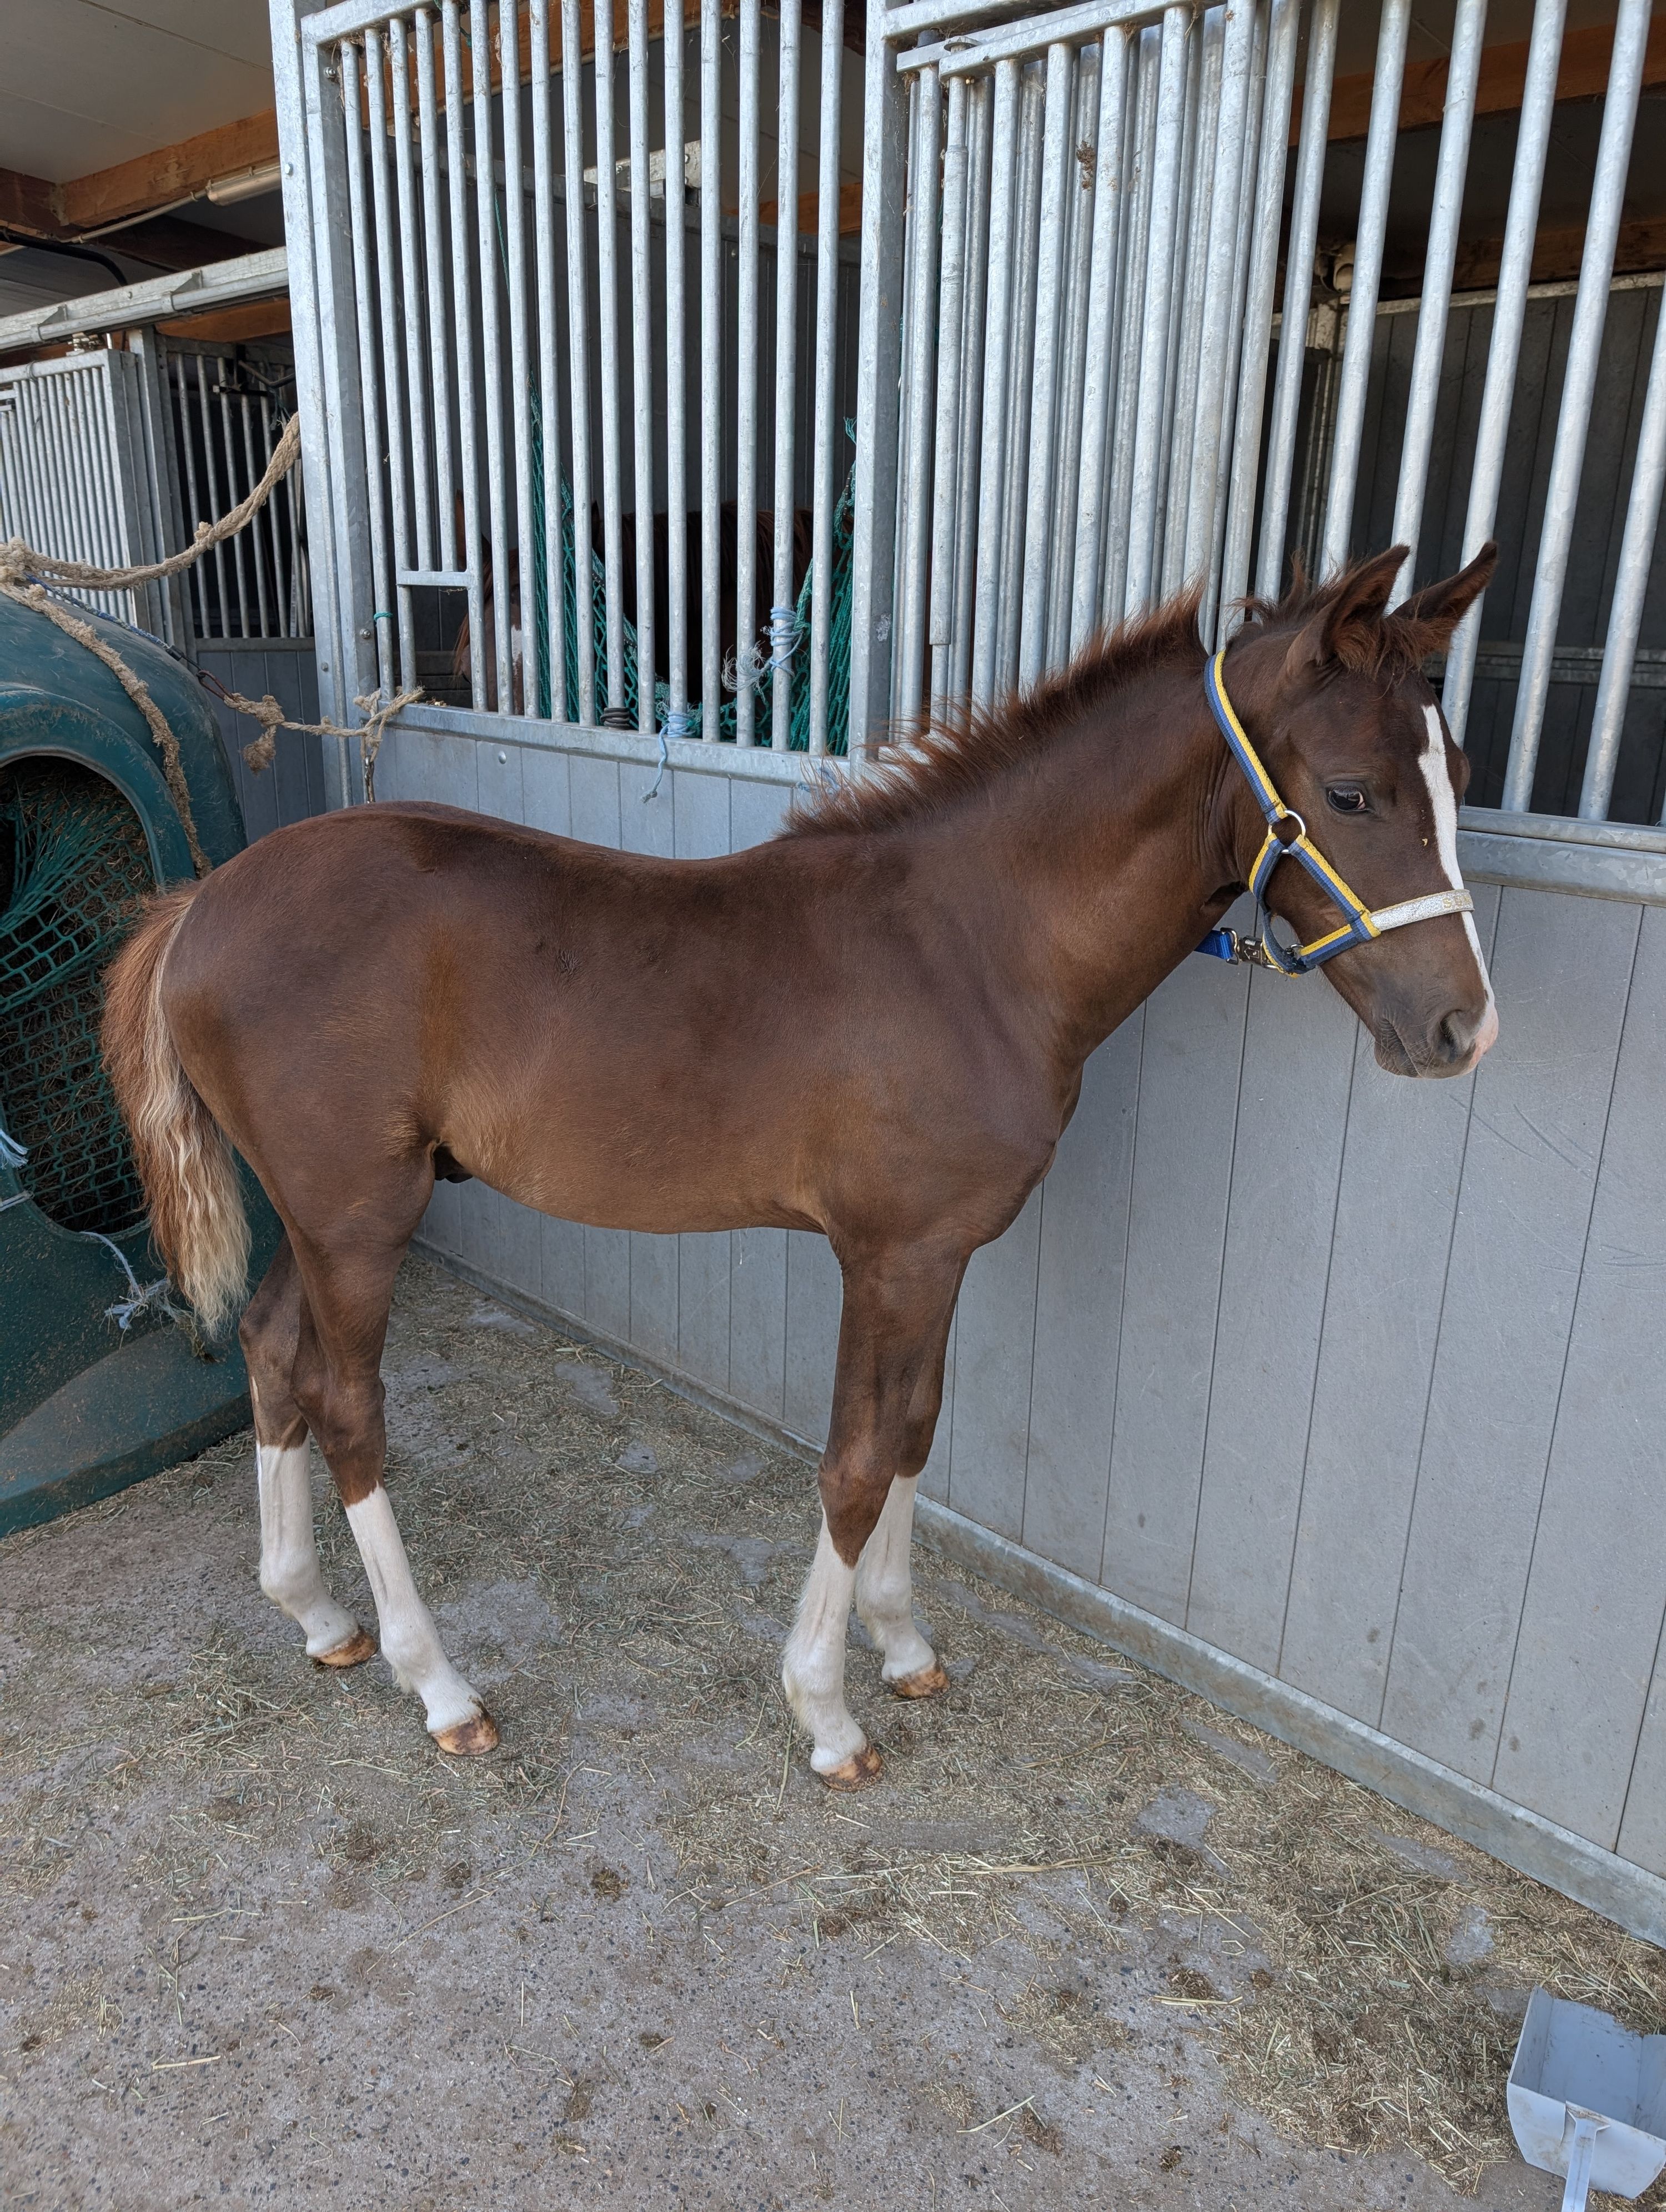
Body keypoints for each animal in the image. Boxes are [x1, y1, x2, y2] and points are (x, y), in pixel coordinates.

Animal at [103, 541, 1499, 1787]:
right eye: (1349, 791)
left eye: (1461, 774)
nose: (1460, 1029)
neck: (969, 947)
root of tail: (202, 906)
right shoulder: (891, 1257)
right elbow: (856, 1459)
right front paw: (825, 1712)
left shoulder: (939, 1256)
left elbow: (916, 1433)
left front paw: (905, 1646)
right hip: (359, 1219)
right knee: (347, 1405)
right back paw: (438, 1684)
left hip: (319, 1216)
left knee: (272, 1351)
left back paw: (317, 1617)